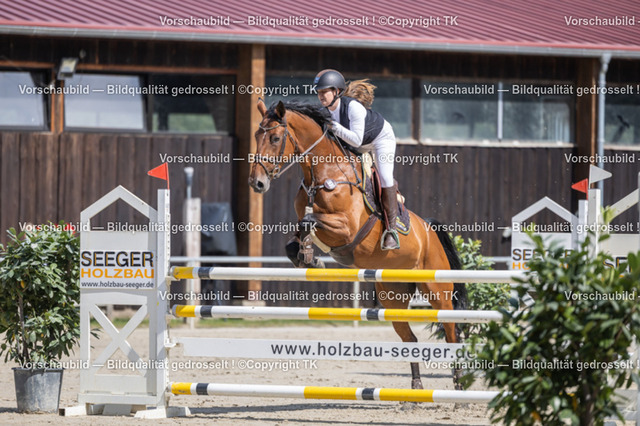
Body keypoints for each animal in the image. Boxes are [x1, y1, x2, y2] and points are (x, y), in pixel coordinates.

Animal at [249, 99, 467, 390]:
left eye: (274, 138)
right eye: (255, 136)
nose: (257, 183)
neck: (324, 174)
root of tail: (429, 230)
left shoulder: (347, 228)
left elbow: (309, 220)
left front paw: (310, 255)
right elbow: (295, 238)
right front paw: (308, 257)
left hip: (437, 291)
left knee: (453, 333)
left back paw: (458, 384)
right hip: (392, 296)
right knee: (409, 339)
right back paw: (417, 387)